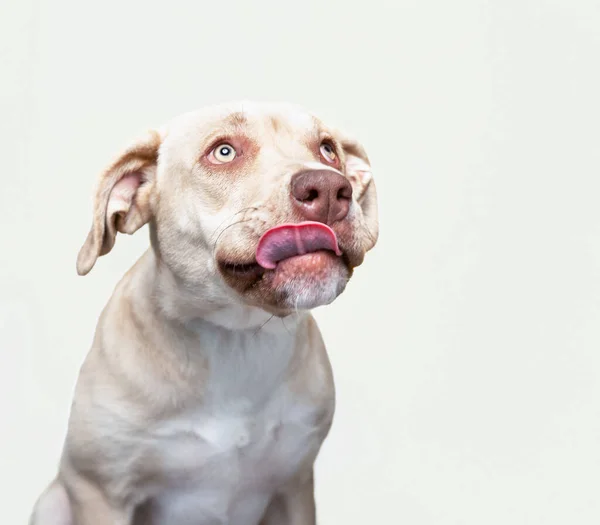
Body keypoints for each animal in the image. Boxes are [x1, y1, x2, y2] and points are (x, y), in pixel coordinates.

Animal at [30, 100, 378, 520]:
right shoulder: (101, 494)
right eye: (223, 152)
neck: (236, 336)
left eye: (328, 149)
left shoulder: (294, 489)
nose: (328, 188)